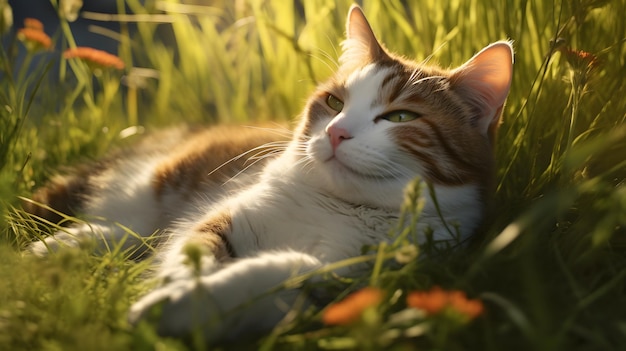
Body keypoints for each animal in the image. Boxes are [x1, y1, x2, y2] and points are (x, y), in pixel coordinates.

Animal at [25, 4, 512, 342]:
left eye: (400, 117)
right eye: (334, 102)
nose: (335, 133)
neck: (337, 207)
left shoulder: (344, 284)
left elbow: (270, 276)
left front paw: (180, 307)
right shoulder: (226, 217)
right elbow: (193, 252)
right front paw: (175, 289)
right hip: (152, 183)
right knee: (134, 226)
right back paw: (58, 247)